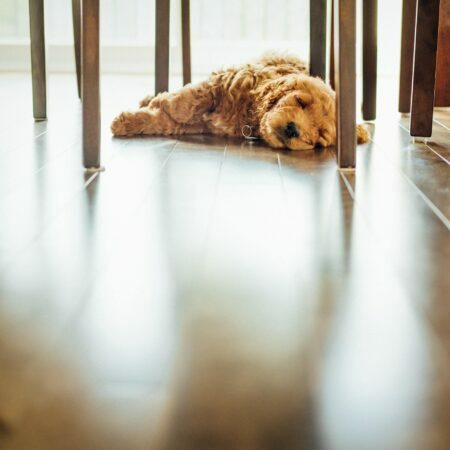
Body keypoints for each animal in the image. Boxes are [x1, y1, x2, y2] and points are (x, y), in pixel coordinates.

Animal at [110, 54, 370, 149]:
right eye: (300, 101)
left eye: (321, 135)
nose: (292, 129)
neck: (250, 115)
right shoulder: (226, 80)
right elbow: (188, 99)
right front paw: (163, 105)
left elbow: (165, 121)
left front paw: (126, 122)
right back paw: (151, 98)